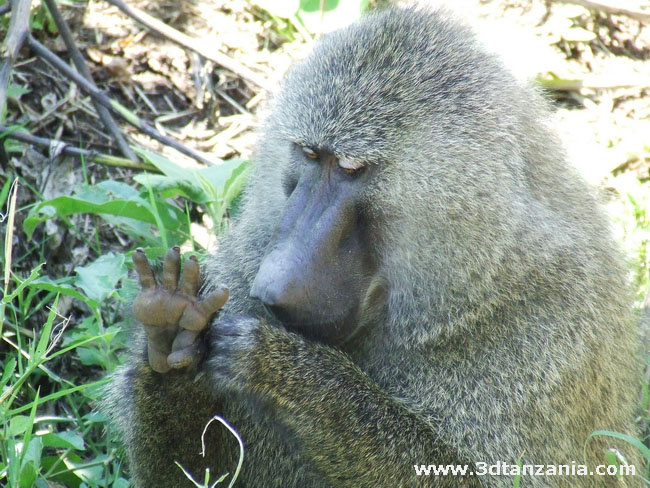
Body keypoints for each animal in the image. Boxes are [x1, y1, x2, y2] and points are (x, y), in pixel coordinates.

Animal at [104, 5, 644, 487]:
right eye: (310, 155)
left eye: (350, 168)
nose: (270, 289)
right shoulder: (243, 263)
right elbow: (193, 476)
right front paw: (174, 325)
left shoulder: (558, 331)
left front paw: (286, 370)